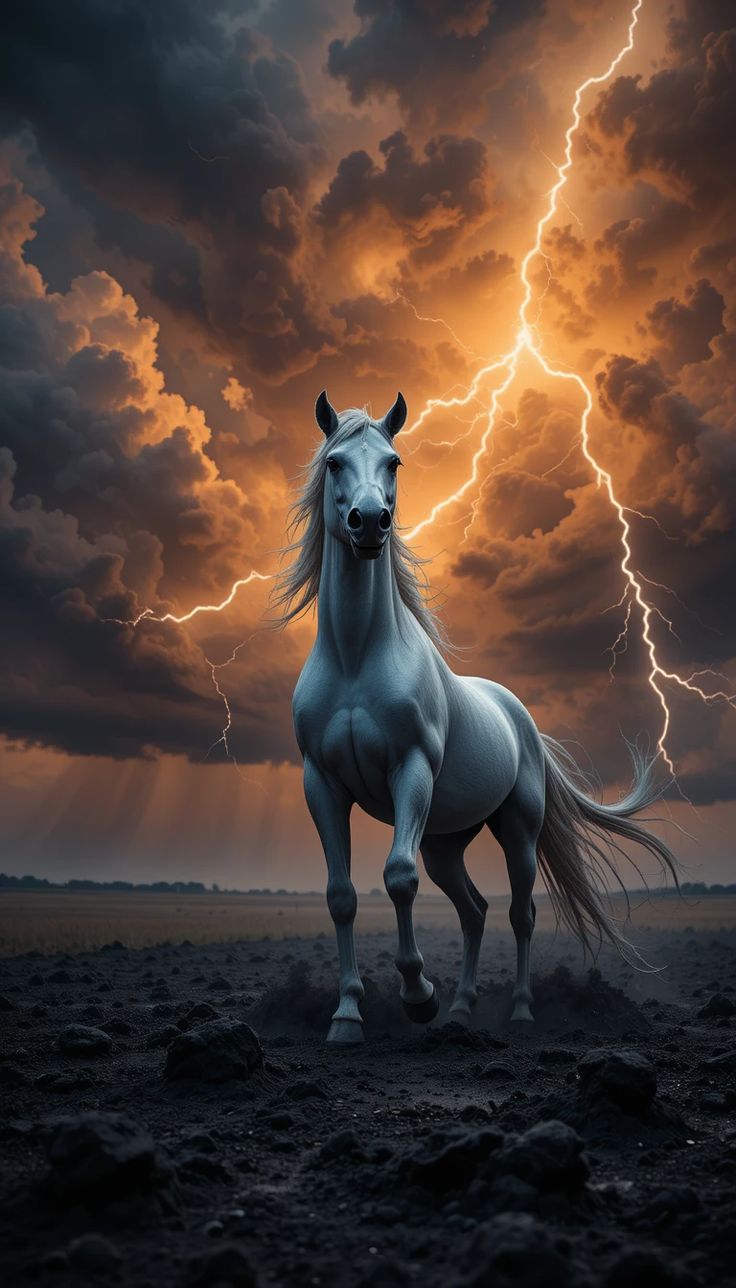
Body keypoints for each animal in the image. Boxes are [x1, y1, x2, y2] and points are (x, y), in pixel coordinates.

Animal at [274, 390, 678, 1044]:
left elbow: (398, 878)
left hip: (518, 829)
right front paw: (347, 1015)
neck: (357, 657)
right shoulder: (323, 784)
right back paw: (462, 1010)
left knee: (519, 912)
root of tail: (521, 718)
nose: (369, 523)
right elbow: (341, 895)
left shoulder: (411, 770)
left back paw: (518, 1010)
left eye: (394, 462)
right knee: (474, 911)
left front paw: (418, 997)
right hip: (447, 840)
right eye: (334, 462)